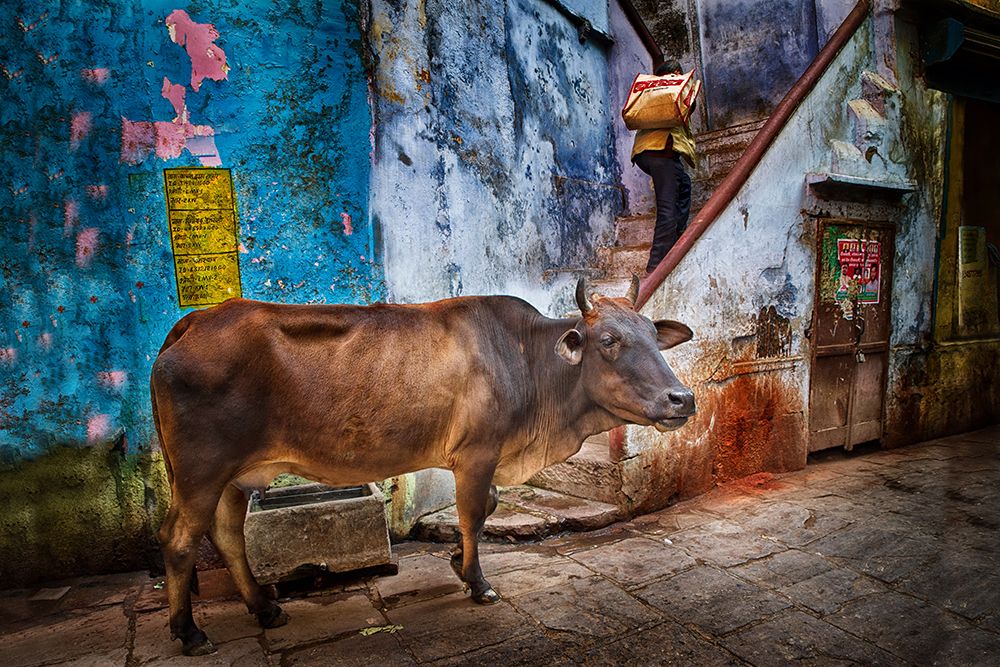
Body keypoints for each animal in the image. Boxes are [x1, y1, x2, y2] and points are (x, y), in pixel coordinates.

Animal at [150, 278, 696, 656]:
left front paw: (456, 561)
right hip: (201, 472)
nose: (683, 399)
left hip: (232, 476)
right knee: (179, 539)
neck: (529, 362)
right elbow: (473, 514)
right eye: (608, 341)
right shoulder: (477, 454)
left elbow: (486, 508)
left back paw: (264, 609)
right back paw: (189, 632)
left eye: (654, 336)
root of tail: (196, 320)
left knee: (227, 535)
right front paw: (476, 582)